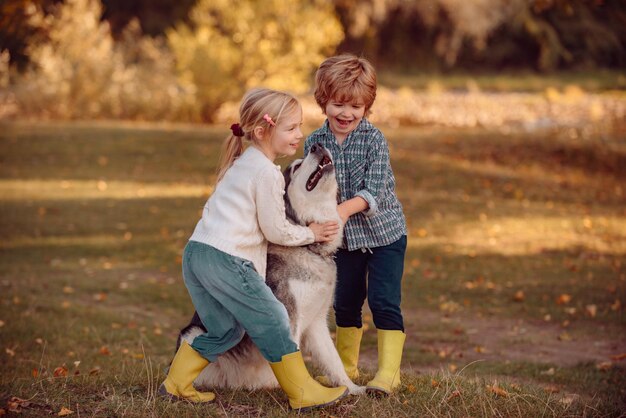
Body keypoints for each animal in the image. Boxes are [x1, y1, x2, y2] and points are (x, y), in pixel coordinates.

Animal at [173, 144, 364, 396]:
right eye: (296, 167)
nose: (317, 145)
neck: (309, 248)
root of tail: (237, 383)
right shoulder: (290, 318)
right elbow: (293, 353)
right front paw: (306, 393)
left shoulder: (317, 322)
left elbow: (333, 360)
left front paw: (352, 388)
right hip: (193, 331)